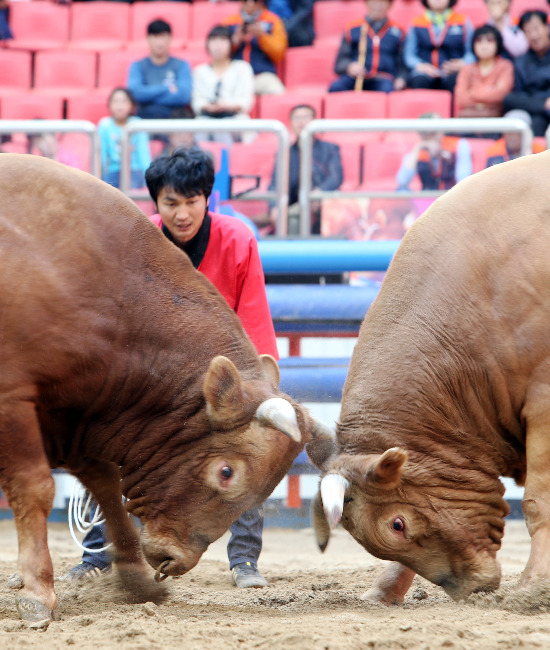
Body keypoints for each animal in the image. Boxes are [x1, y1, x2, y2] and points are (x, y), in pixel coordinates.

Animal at [0, 153, 332, 624]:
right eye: (226, 472)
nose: (176, 560)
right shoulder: (13, 401)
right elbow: (35, 487)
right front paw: (38, 593)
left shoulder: (73, 412)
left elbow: (105, 482)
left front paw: (136, 578)